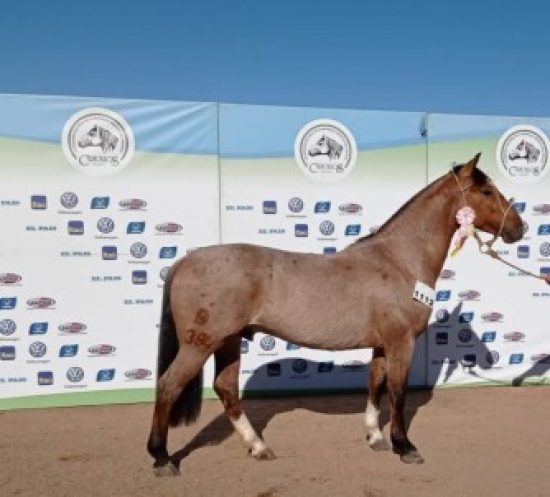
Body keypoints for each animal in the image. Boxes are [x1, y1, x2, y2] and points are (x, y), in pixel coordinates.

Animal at [147, 153, 528, 474]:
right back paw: (162, 458)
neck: (400, 260)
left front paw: (375, 437)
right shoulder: (400, 341)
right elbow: (399, 392)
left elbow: (376, 385)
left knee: (226, 388)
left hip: (228, 341)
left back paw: (258, 447)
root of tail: (185, 260)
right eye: (485, 190)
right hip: (201, 343)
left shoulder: (382, 344)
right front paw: (404, 446)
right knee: (168, 386)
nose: (519, 228)